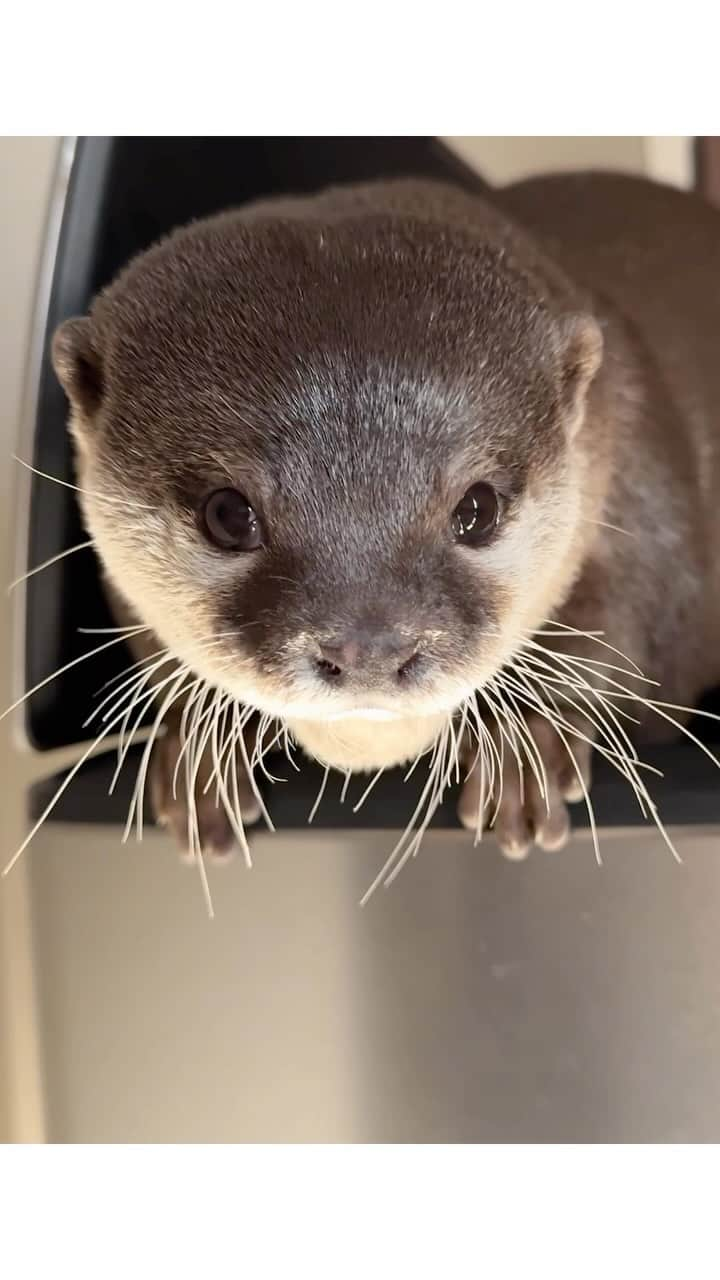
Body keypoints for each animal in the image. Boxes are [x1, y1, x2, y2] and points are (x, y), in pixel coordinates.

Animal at [49, 172, 720, 870]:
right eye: (227, 514)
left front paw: (525, 749)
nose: (369, 648)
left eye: (478, 510)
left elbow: (629, 636)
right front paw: (195, 755)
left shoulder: (637, 473)